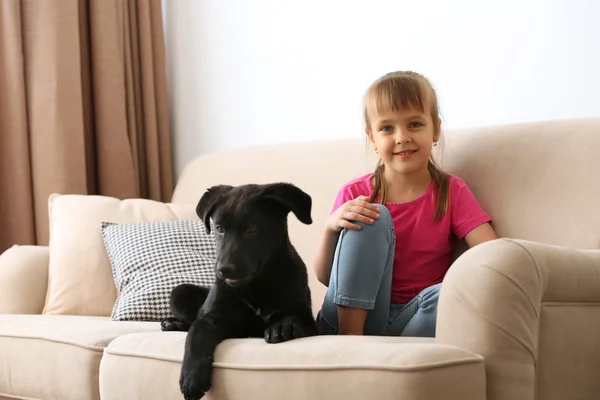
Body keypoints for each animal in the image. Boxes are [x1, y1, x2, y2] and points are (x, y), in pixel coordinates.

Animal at [159, 182, 318, 400]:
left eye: (251, 229)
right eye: (219, 229)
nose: (223, 269)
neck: (257, 284)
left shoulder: (310, 320)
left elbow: (296, 318)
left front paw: (283, 327)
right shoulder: (218, 318)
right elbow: (198, 328)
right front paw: (192, 376)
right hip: (180, 292)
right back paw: (174, 323)